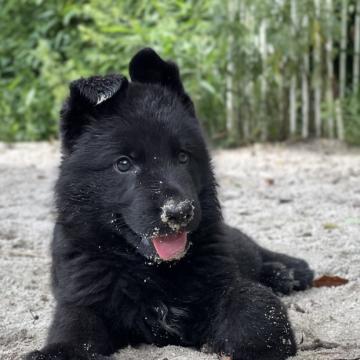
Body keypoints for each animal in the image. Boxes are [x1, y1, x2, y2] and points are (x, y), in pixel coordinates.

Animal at [26, 48, 312, 360]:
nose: (179, 213)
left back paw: (289, 272)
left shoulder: (222, 284)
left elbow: (256, 311)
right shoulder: (84, 299)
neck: (153, 271)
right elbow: (75, 327)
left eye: (183, 156)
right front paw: (57, 351)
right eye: (123, 164)